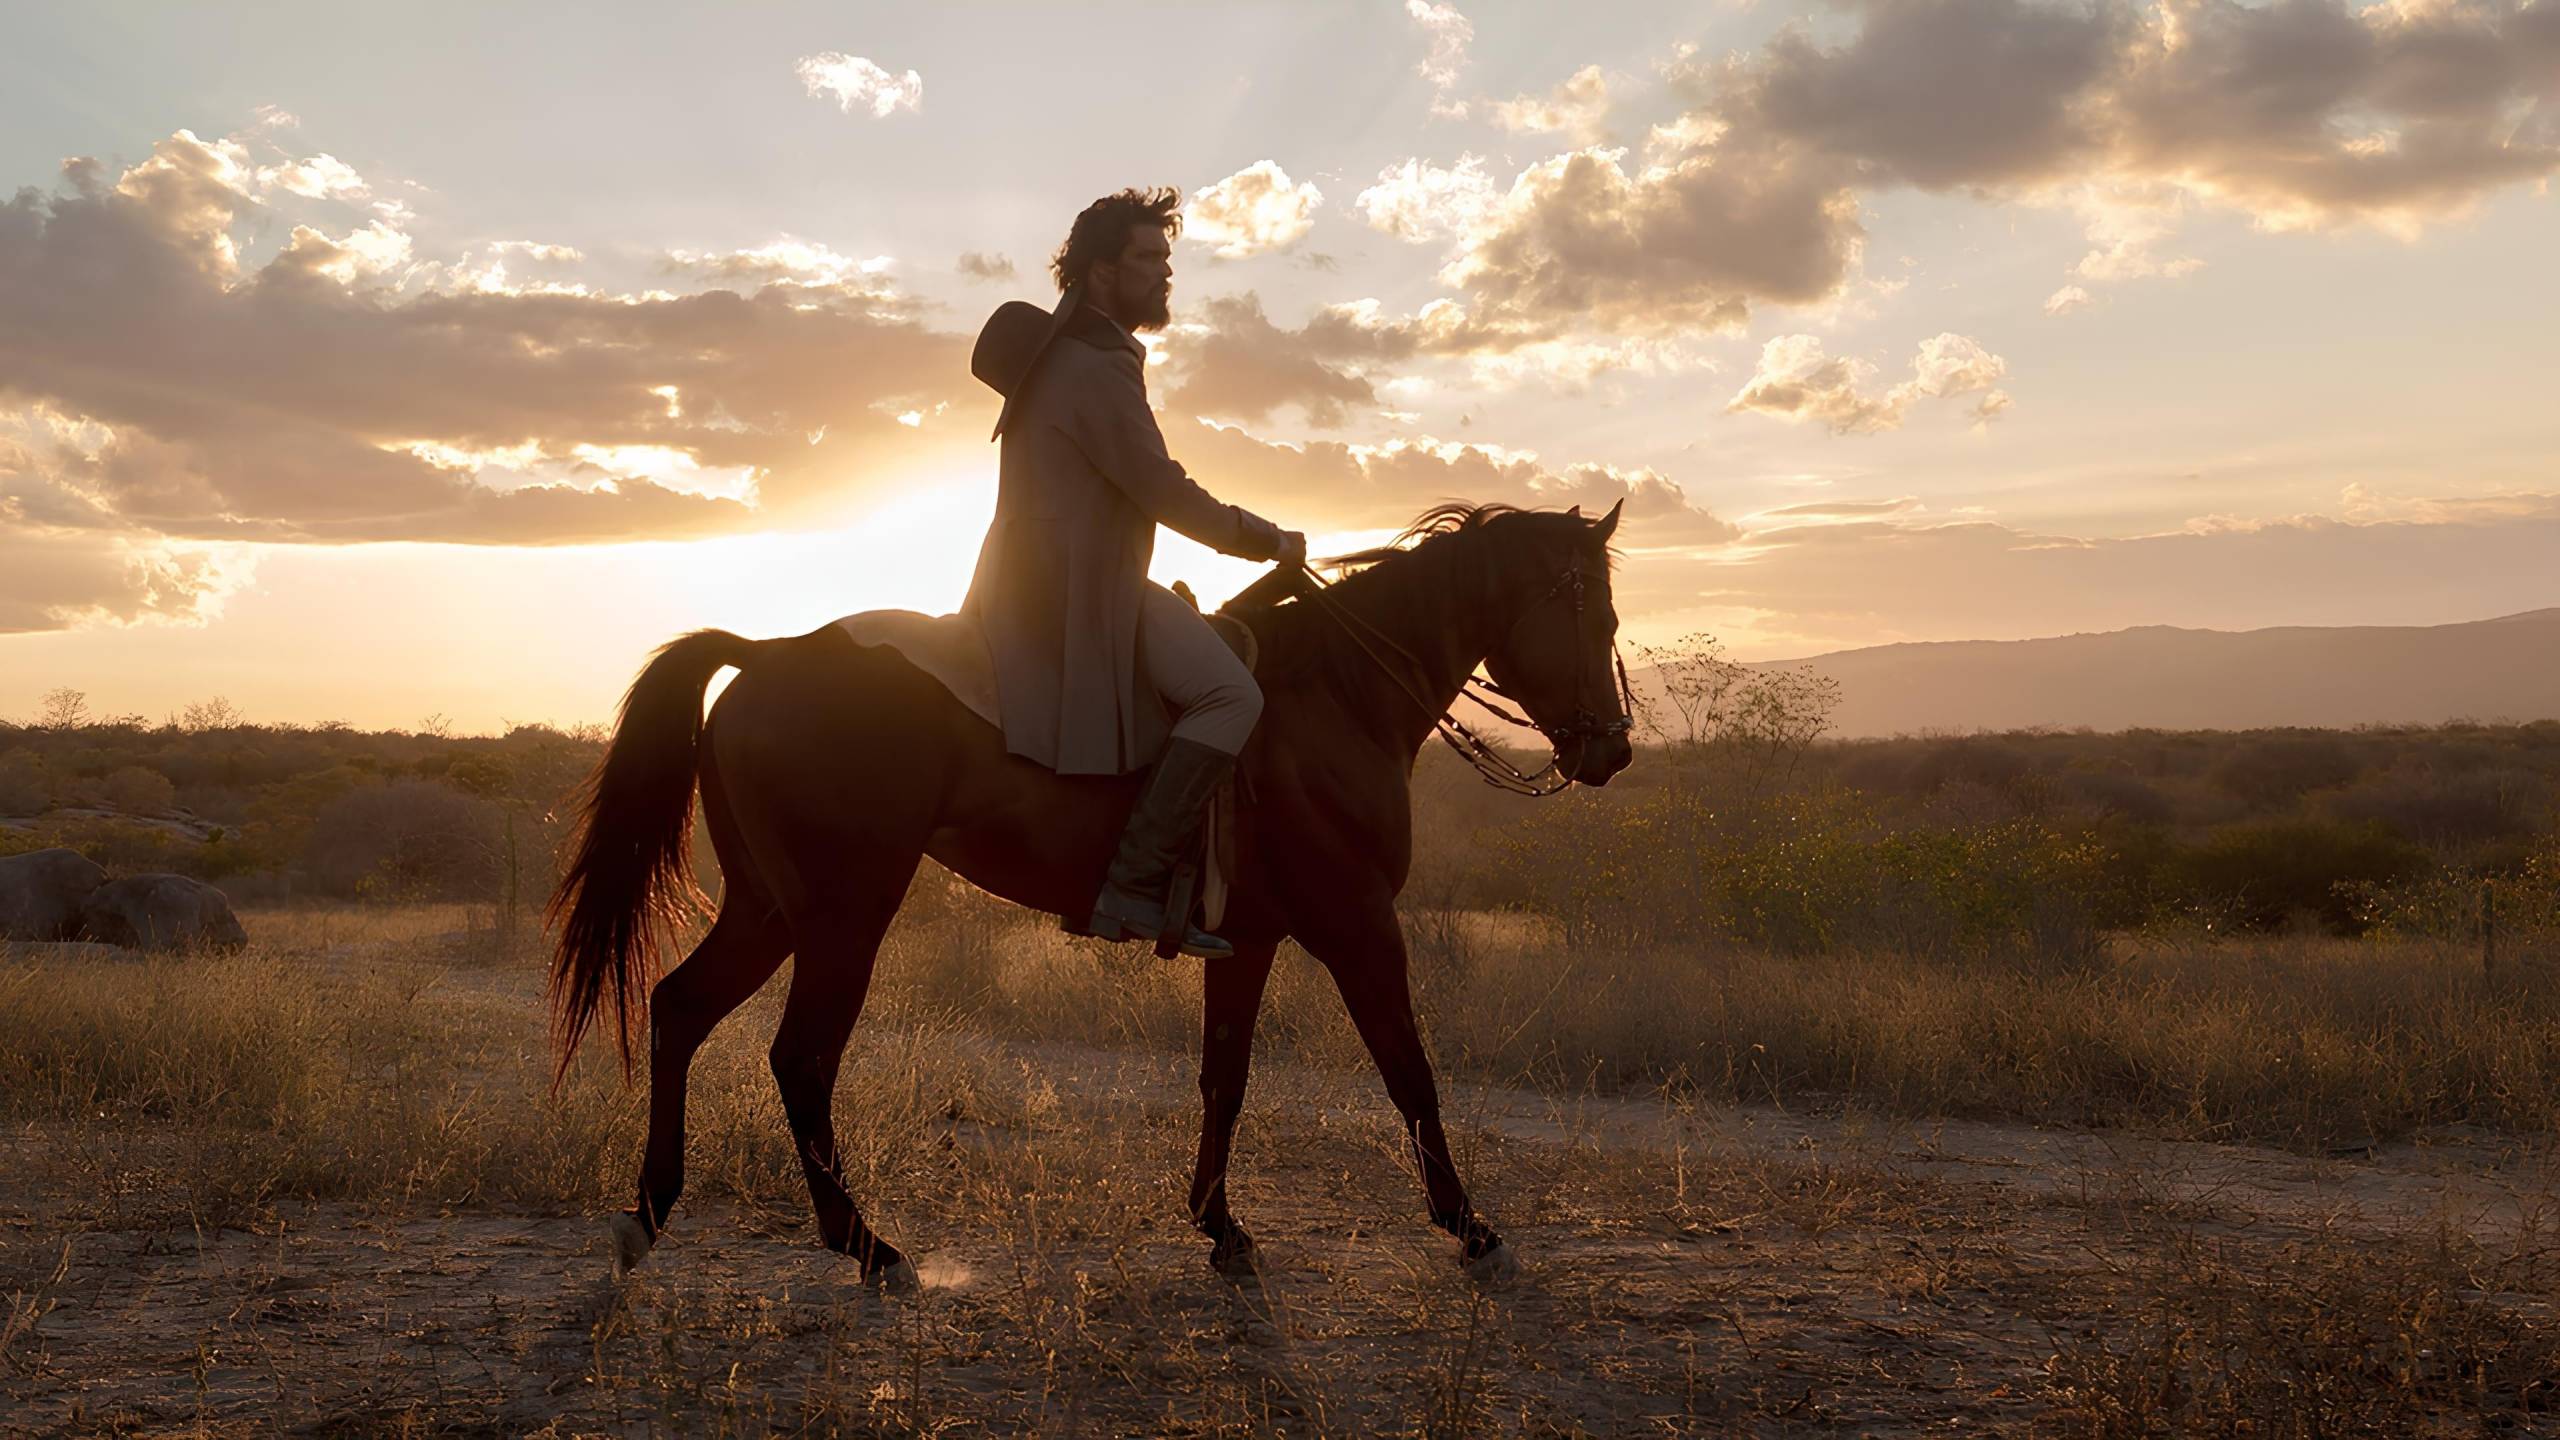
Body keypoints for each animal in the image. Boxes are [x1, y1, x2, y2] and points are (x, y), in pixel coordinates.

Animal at [547, 499, 1628, 1281]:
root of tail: (767, 654)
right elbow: (1410, 1073)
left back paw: (650, 1214)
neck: (1336, 695)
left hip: (769, 910)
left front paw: (1221, 1229)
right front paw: (1471, 1228)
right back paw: (868, 1247)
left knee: (680, 1008)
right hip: (844, 919)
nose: (1611, 751)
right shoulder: (1360, 928)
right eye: (1592, 614)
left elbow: (1225, 1079)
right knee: (801, 1060)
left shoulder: (1251, 941)